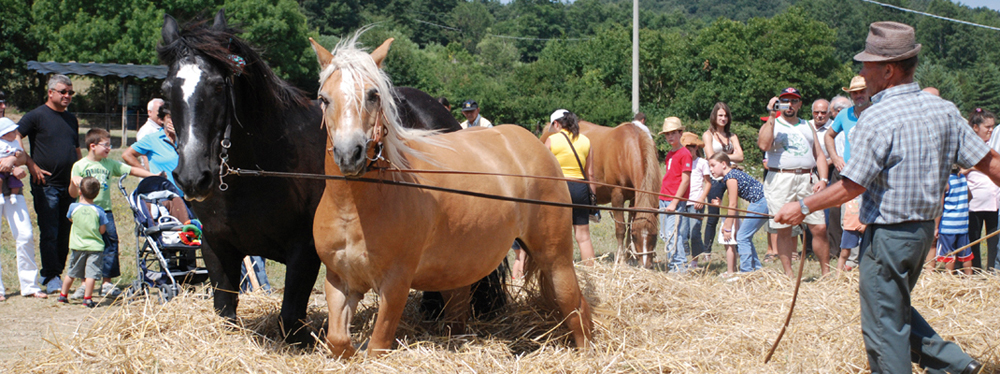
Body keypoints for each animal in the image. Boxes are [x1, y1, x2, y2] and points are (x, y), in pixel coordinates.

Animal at [161, 10, 504, 344]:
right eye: (166, 90)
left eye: (219, 86)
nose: (192, 177)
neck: (263, 168)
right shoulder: (216, 246)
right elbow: (226, 314)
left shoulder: (305, 250)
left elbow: (290, 319)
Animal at [308, 36, 592, 358]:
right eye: (323, 99)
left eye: (373, 95)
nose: (349, 154)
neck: (354, 209)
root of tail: (533, 141)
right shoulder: (339, 282)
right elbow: (338, 340)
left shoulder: (395, 285)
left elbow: (378, 346)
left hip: (555, 257)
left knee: (574, 305)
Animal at [544, 121, 660, 264]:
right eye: (635, 235)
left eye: (655, 235)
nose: (645, 265)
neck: (624, 150)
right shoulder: (617, 196)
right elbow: (621, 229)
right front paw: (621, 260)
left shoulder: (634, 198)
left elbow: (629, 224)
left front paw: (629, 257)